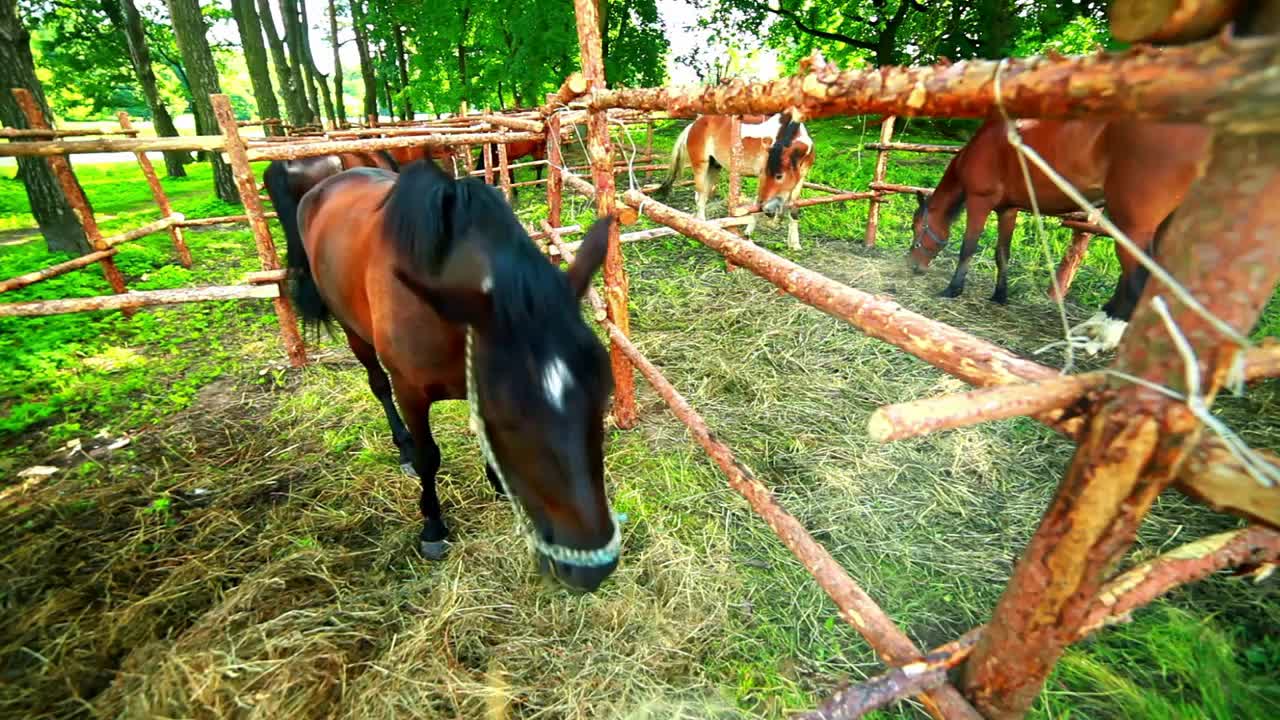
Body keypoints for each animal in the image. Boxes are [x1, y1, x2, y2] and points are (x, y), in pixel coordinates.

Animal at [294, 159, 624, 591]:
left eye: (603, 393)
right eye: (509, 418)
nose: (592, 568)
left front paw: (497, 482)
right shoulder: (411, 392)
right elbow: (428, 457)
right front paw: (433, 526)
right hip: (354, 332)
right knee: (377, 385)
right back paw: (401, 446)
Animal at [655, 111, 814, 245]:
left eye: (779, 176)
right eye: (769, 173)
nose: (769, 211)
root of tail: (695, 123)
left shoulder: (800, 181)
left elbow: (793, 209)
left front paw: (794, 244)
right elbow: (757, 205)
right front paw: (748, 234)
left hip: (714, 168)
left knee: (703, 196)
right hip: (701, 167)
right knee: (700, 196)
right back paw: (703, 228)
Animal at [911, 115, 1208, 353]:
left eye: (917, 228)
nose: (912, 266)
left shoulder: (979, 202)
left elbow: (968, 248)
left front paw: (952, 289)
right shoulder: (1008, 210)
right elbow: (1002, 254)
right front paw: (1000, 295)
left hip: (1133, 226)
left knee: (1139, 278)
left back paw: (1106, 337)